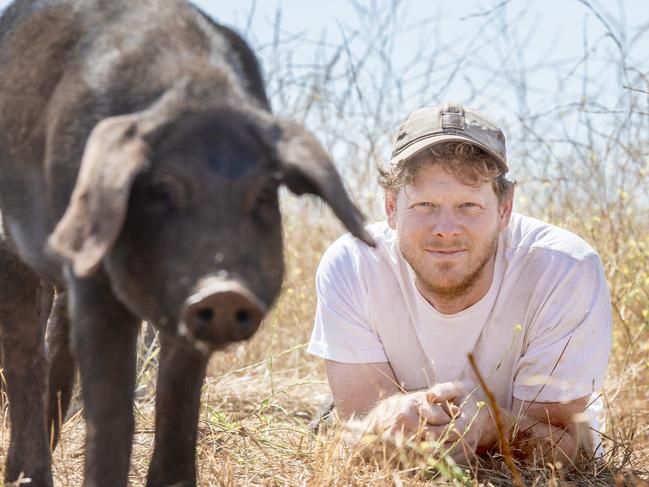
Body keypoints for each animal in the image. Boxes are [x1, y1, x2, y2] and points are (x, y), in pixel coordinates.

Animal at [0, 1, 374, 486]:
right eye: (162, 189)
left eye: (262, 193)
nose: (223, 289)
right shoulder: (93, 278)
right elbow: (111, 409)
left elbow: (178, 407)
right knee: (26, 359)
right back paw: (26, 475)